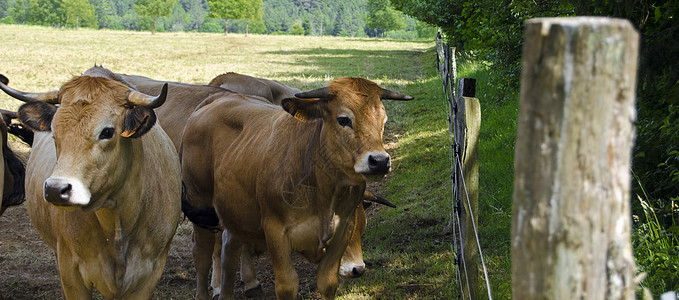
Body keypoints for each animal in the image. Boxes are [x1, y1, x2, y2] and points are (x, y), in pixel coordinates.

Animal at [181, 78, 414, 300]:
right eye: (343, 119)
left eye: (383, 121)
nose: (380, 161)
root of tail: (215, 100)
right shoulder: (275, 231)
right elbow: (287, 286)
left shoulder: (342, 230)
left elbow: (328, 282)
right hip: (201, 206)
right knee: (201, 254)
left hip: (236, 212)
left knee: (229, 250)